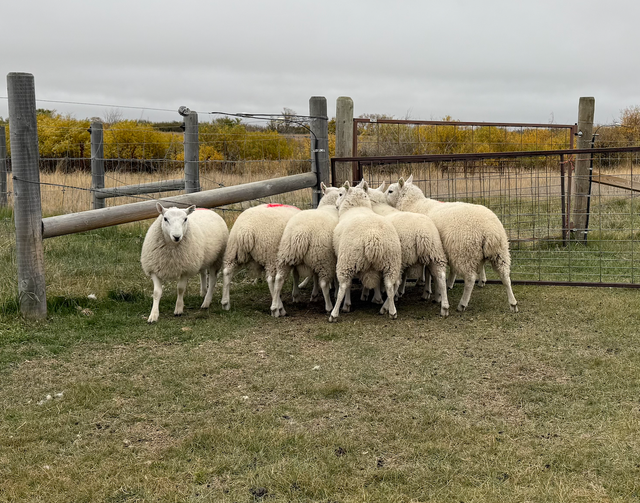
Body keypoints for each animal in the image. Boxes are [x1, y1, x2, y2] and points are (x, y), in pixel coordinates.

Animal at [270, 183, 342, 317]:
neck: (329, 205)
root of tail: (301, 233)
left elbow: (311, 275)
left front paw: (313, 294)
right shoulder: (331, 258)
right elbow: (326, 277)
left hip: (287, 255)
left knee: (279, 279)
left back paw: (276, 306)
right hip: (322, 257)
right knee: (323, 283)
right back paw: (329, 306)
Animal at [330, 180, 402, 322]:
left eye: (340, 194)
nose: (335, 206)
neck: (357, 206)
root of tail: (373, 238)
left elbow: (348, 286)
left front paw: (347, 305)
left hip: (347, 261)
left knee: (343, 286)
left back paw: (334, 314)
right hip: (392, 262)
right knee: (390, 286)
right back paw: (391, 311)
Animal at [368, 181, 450, 317]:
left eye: (390, 191)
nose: (384, 198)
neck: (412, 202)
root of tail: (421, 233)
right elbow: (428, 273)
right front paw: (430, 292)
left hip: (402, 256)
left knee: (396, 280)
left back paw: (386, 307)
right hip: (435, 252)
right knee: (441, 275)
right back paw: (444, 306)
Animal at [386, 175, 518, 313]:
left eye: (390, 191)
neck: (413, 204)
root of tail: (489, 230)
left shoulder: (430, 249)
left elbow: (428, 272)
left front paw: (427, 292)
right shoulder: (431, 250)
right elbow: (430, 272)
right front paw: (435, 292)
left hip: (464, 252)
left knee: (470, 279)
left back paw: (462, 304)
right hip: (500, 251)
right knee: (505, 275)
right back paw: (513, 303)